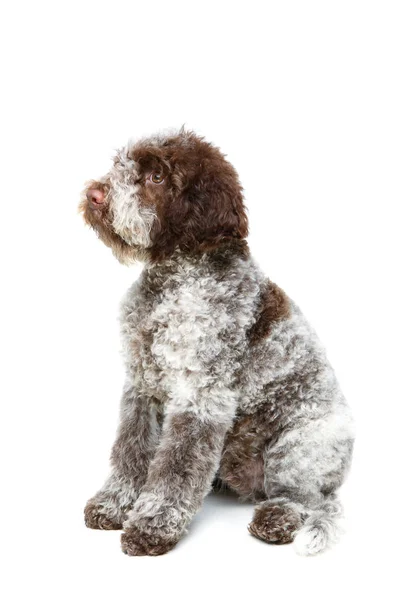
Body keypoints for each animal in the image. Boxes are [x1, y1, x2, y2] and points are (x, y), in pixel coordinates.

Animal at [80, 129, 354, 556]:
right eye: (122, 163)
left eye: (158, 177)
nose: (95, 193)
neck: (173, 283)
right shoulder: (142, 386)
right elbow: (132, 450)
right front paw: (115, 504)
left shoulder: (200, 395)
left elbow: (175, 466)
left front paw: (153, 526)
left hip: (298, 449)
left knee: (307, 498)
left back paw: (277, 518)